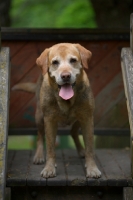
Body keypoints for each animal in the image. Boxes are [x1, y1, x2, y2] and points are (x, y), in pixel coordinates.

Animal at [13, 42, 101, 178]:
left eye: (73, 60)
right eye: (55, 62)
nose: (65, 76)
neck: (66, 100)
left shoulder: (87, 118)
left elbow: (90, 147)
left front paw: (92, 168)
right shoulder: (49, 120)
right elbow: (50, 148)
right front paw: (49, 168)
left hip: (79, 118)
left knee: (73, 132)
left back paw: (81, 151)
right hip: (39, 116)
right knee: (39, 136)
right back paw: (39, 156)